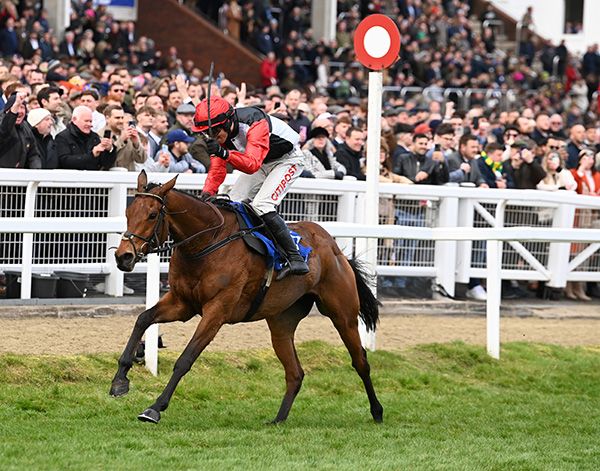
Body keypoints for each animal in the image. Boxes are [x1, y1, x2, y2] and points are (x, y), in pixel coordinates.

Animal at [111, 171, 384, 426]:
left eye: (152, 215)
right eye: (128, 212)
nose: (123, 257)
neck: (206, 243)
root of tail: (335, 248)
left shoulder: (217, 311)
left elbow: (185, 359)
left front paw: (155, 408)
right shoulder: (182, 303)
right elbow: (143, 319)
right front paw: (120, 380)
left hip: (343, 315)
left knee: (360, 362)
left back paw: (377, 412)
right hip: (281, 323)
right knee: (295, 373)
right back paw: (278, 419)